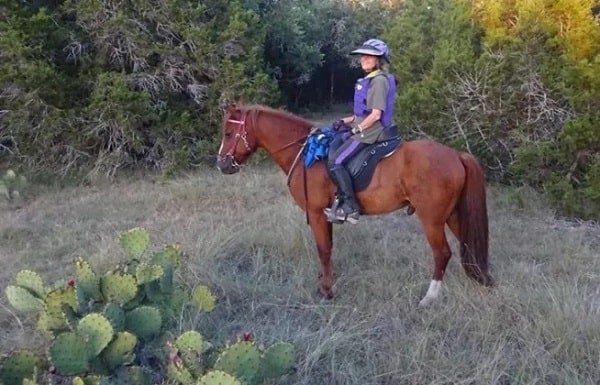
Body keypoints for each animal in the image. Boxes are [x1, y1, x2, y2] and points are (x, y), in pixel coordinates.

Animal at [216, 103, 492, 306]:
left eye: (228, 133)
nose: (222, 164)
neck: (307, 155)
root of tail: (456, 155)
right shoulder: (325, 214)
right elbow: (328, 248)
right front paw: (326, 280)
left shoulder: (316, 213)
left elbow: (323, 249)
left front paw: (327, 291)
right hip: (453, 215)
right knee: (468, 245)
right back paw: (481, 281)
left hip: (431, 219)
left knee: (442, 253)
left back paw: (430, 297)